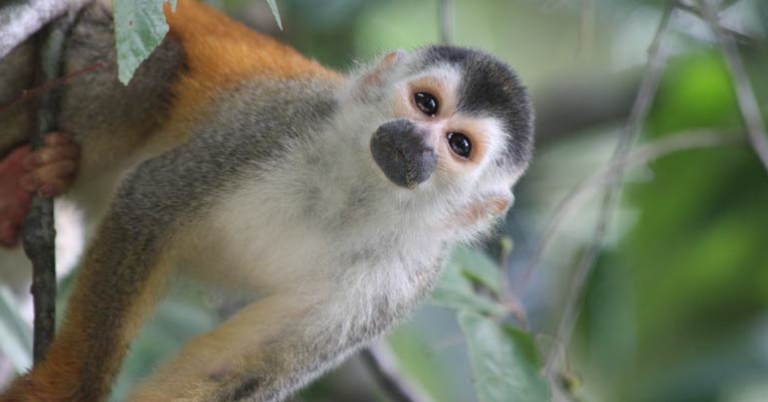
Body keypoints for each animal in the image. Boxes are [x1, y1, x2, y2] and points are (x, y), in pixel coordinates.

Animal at [0, 0, 534, 400]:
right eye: (426, 104)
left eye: (459, 145)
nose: (416, 141)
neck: (356, 195)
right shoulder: (273, 123)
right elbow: (147, 205)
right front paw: (62, 389)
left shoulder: (394, 286)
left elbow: (238, 371)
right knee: (153, 71)